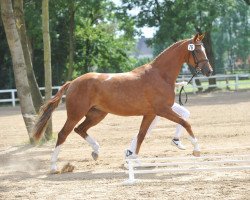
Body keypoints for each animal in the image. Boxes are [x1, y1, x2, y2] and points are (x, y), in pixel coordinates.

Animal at [32, 33, 213, 173]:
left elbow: (141, 135)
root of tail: (73, 82)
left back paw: (96, 151)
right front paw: (196, 150)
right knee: (63, 134)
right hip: (76, 114)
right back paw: (54, 167)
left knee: (80, 129)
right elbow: (185, 122)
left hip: (97, 114)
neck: (160, 75)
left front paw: (134, 158)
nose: (209, 71)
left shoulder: (151, 113)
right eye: (197, 50)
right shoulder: (162, 110)